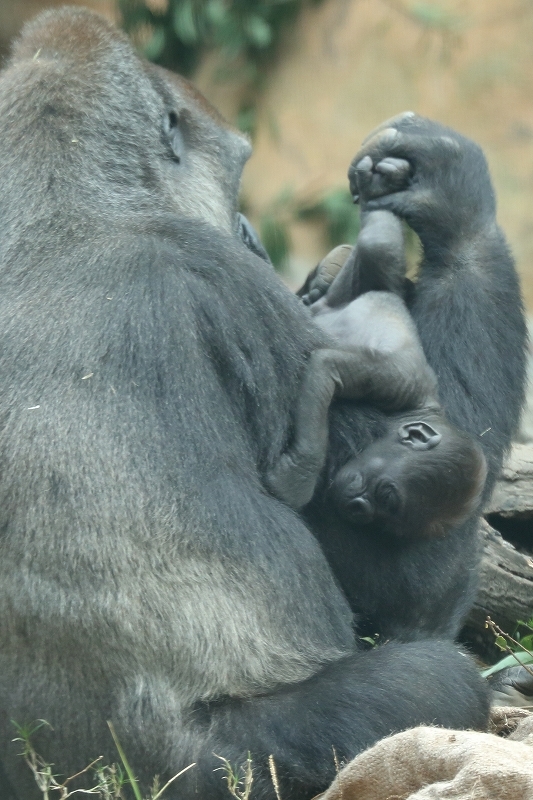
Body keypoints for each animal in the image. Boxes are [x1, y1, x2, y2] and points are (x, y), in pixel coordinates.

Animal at [304, 209, 486, 536]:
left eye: (388, 519)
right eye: (386, 495)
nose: (358, 509)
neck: (420, 409)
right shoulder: (399, 378)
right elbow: (328, 366)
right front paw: (296, 475)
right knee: (379, 249)